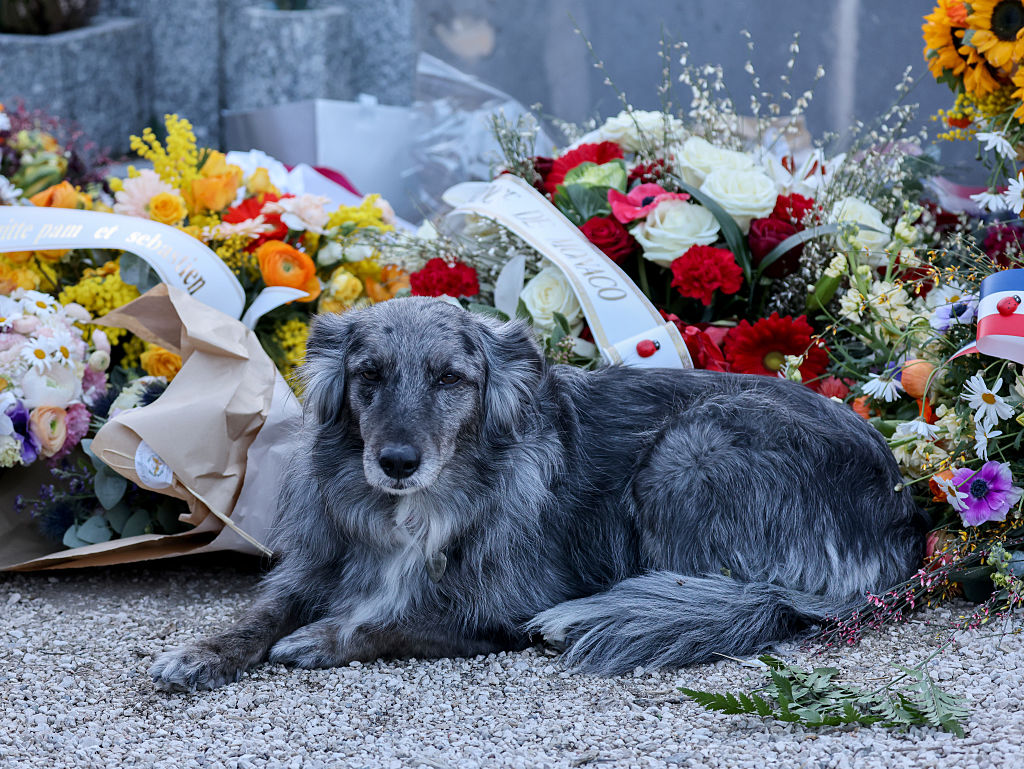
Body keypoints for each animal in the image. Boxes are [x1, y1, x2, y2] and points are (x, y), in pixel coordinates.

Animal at [150, 297, 925, 689]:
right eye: (368, 374)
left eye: (450, 378)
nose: (396, 462)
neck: (419, 509)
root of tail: (908, 521)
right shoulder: (317, 566)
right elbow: (258, 613)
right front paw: (200, 651)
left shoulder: (506, 605)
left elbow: (399, 616)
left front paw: (324, 636)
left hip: (686, 450)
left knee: (724, 594)